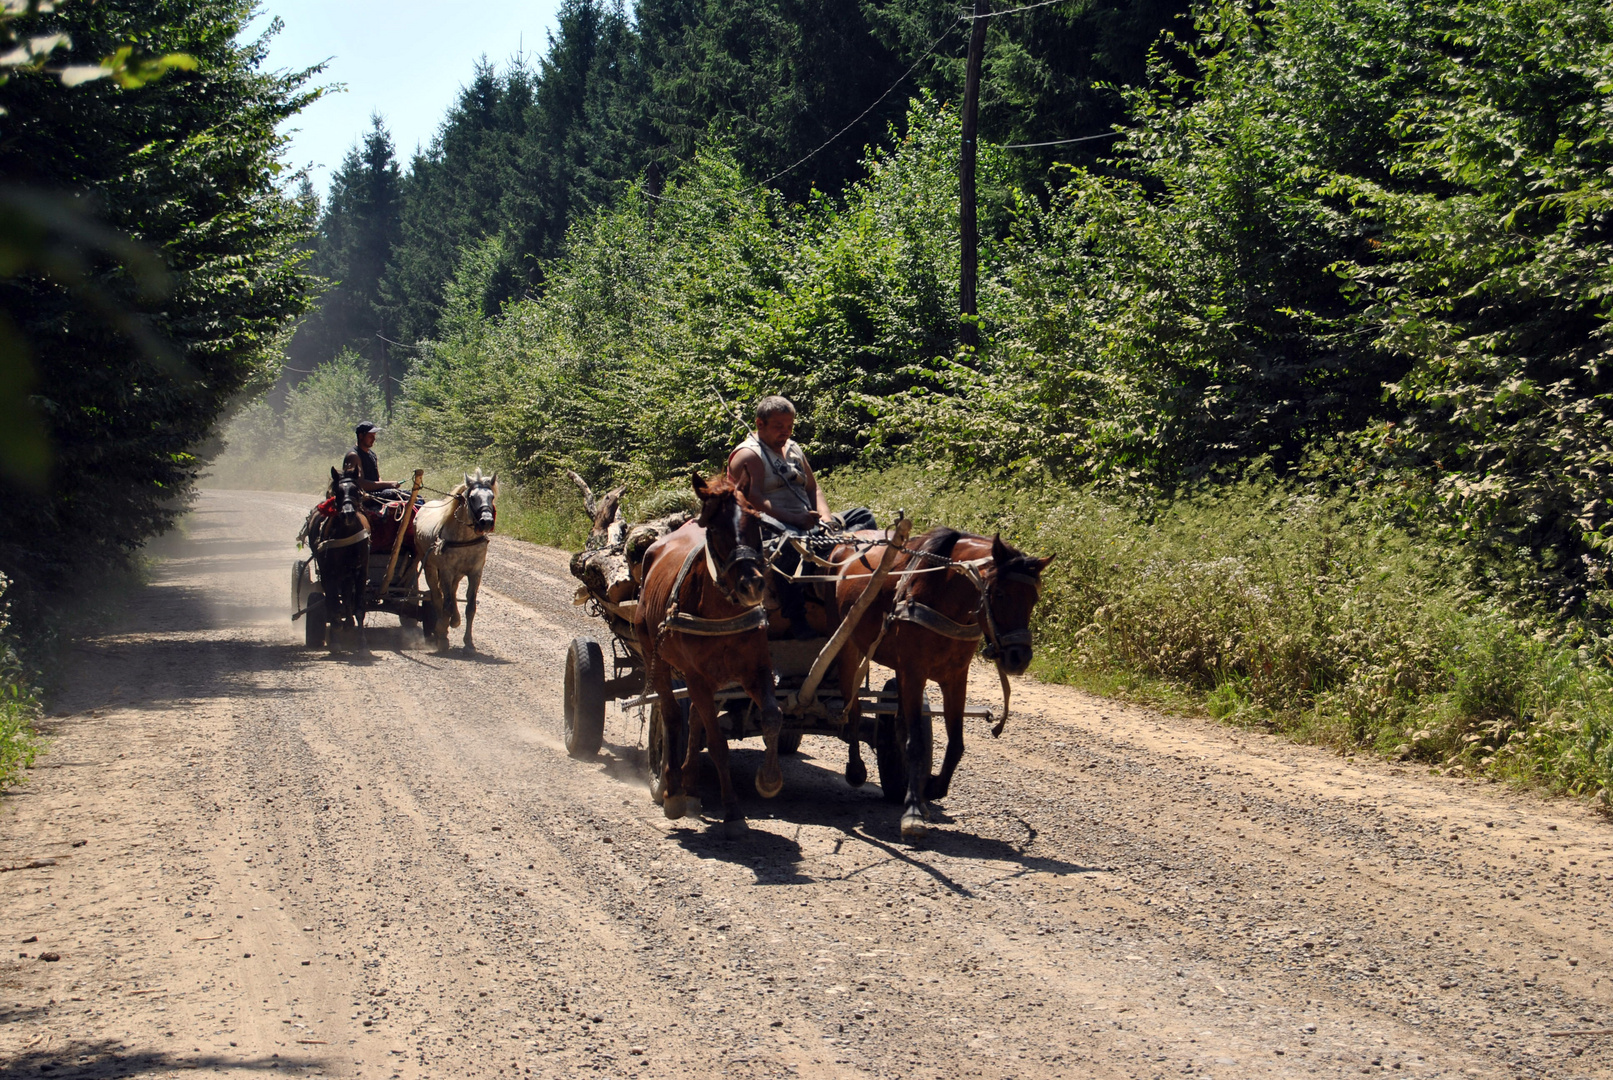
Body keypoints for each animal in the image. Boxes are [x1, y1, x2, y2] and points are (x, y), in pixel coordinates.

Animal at [311, 470, 370, 654]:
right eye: (337, 492)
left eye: (356, 491)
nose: (348, 513)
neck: (347, 532)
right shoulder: (329, 572)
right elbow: (333, 605)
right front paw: (335, 639)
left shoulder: (360, 571)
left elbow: (359, 607)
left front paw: (362, 642)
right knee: (333, 601)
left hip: (347, 573)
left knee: (346, 594)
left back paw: (348, 623)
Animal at [412, 470, 493, 651]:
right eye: (473, 497)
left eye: (491, 496)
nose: (487, 522)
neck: (465, 539)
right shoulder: (446, 571)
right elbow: (446, 603)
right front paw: (442, 634)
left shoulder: (475, 573)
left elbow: (470, 607)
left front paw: (469, 643)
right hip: (430, 567)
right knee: (437, 595)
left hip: (456, 573)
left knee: (452, 591)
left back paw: (454, 620)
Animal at [632, 473, 783, 838]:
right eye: (714, 528)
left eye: (756, 521)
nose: (752, 585)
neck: (722, 611)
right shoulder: (697, 677)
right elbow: (717, 743)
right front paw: (732, 809)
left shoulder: (757, 671)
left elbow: (772, 717)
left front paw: (769, 779)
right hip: (657, 657)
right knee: (673, 715)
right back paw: (673, 790)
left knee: (695, 717)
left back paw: (689, 783)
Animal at [832, 528, 1045, 844]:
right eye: (999, 593)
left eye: (1033, 599)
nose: (1019, 657)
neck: (941, 597)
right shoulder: (914, 672)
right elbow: (916, 743)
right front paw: (912, 812)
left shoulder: (955, 677)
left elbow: (955, 744)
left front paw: (931, 789)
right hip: (848, 644)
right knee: (853, 710)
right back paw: (857, 767)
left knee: (895, 721)